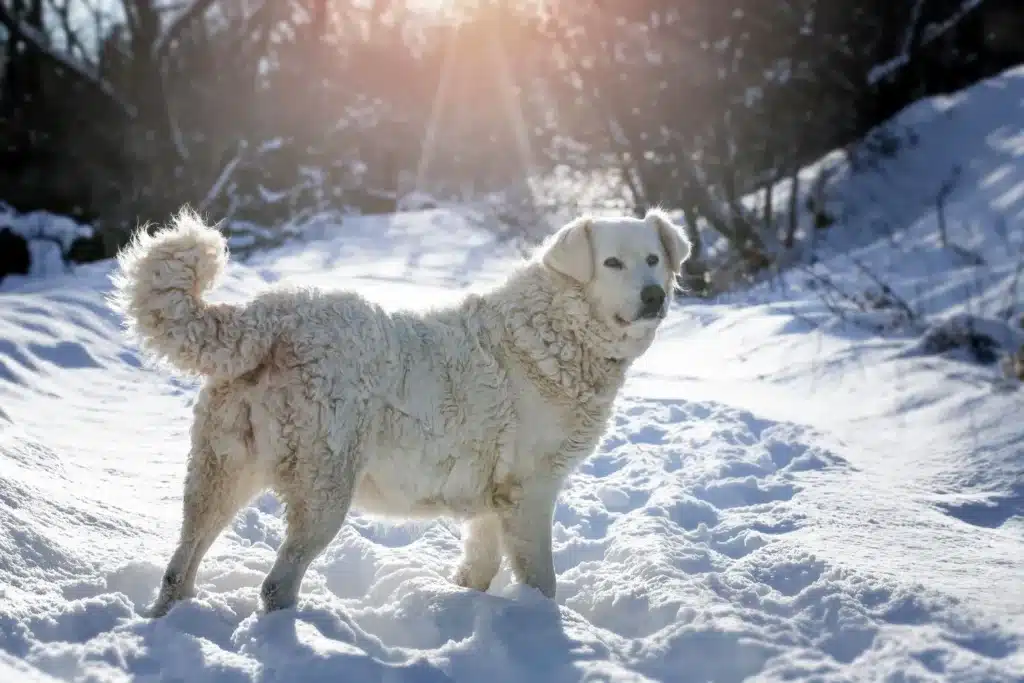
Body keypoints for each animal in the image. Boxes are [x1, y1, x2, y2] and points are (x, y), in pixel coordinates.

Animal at [108, 206, 692, 614]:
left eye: (654, 259)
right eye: (612, 263)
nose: (653, 295)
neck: (557, 330)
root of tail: (270, 315)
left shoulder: (491, 500)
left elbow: (479, 566)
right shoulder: (531, 492)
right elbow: (541, 579)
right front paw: (543, 630)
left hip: (221, 473)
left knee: (180, 566)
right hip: (324, 492)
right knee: (275, 584)